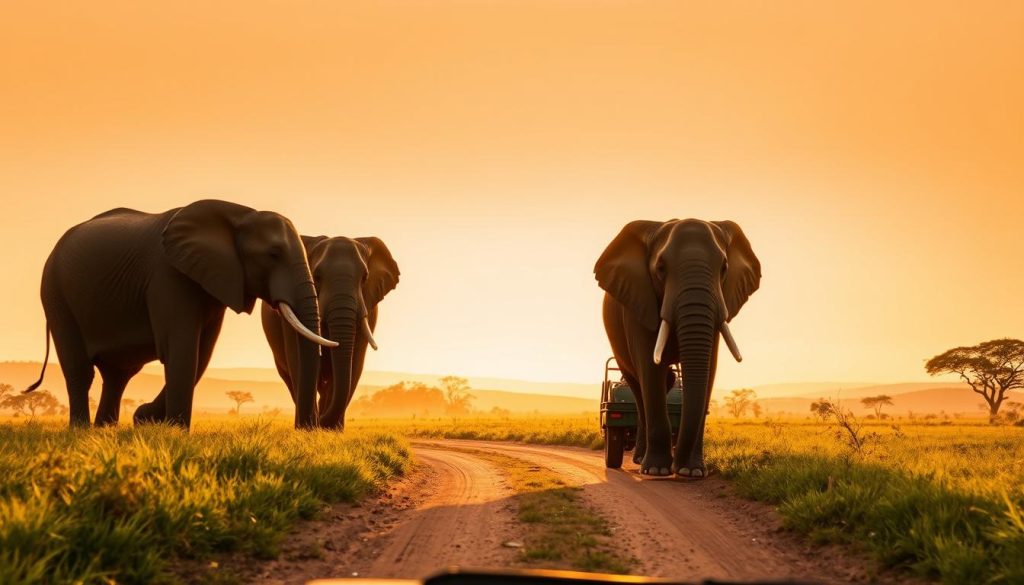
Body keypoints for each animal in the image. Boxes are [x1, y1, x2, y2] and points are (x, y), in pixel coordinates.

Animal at [26, 199, 337, 429]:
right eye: (273, 254)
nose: (309, 428)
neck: (238, 214)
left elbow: (203, 351)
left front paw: (150, 420)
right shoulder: (168, 277)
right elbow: (183, 349)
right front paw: (172, 430)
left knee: (117, 375)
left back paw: (104, 430)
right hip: (55, 293)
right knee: (80, 368)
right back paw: (81, 431)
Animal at [261, 235, 399, 429]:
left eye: (365, 277)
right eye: (317, 276)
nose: (320, 422)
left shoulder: (369, 311)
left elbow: (354, 363)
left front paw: (331, 429)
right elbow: (297, 359)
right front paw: (309, 429)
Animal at [595, 219, 760, 477]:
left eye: (724, 268)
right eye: (661, 268)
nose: (678, 467)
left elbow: (709, 369)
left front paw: (692, 472)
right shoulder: (639, 302)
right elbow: (650, 368)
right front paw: (657, 470)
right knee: (638, 389)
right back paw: (640, 459)